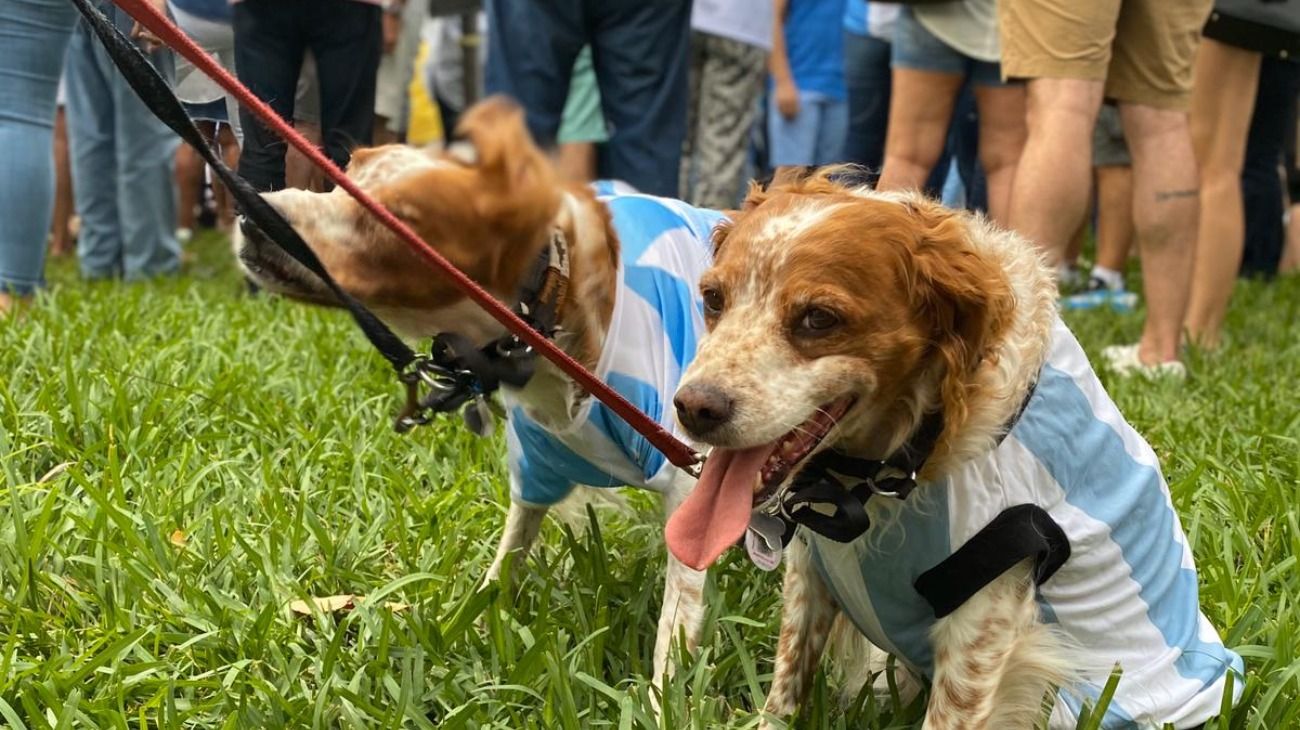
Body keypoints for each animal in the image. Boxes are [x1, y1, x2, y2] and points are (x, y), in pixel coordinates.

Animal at [665, 168, 1242, 727]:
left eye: (818, 318)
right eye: (713, 298)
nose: (693, 408)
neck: (885, 466)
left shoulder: (983, 616)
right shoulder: (812, 573)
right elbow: (785, 689)